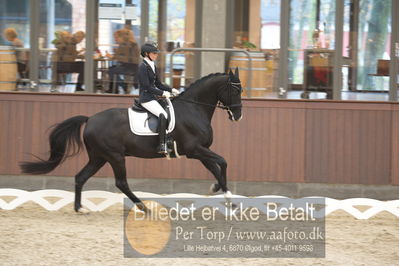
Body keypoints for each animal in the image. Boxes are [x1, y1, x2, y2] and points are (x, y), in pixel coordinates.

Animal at [20, 68, 242, 212]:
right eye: (235, 90)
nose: (238, 116)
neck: (193, 108)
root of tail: (90, 119)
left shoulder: (200, 151)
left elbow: (216, 168)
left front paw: (223, 194)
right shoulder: (195, 149)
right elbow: (223, 162)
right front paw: (224, 194)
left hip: (99, 157)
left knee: (81, 177)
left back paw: (79, 208)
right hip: (115, 156)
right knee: (121, 182)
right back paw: (143, 207)